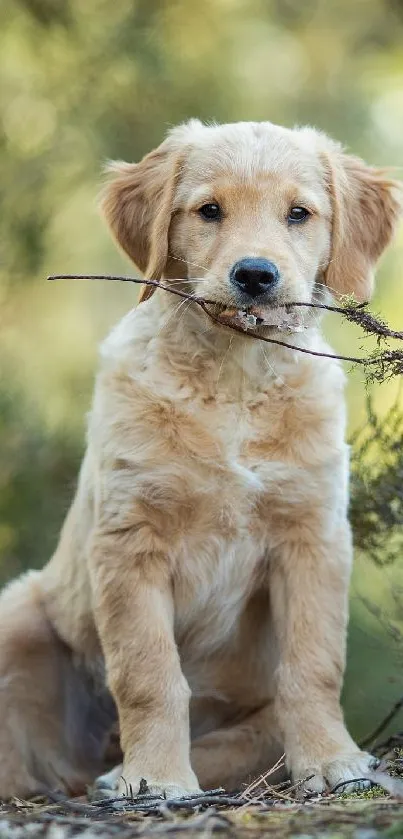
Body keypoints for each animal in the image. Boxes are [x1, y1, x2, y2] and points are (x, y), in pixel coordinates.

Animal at [0, 120, 400, 800]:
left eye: (299, 214)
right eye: (209, 211)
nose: (256, 275)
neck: (234, 379)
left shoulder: (312, 536)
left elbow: (314, 663)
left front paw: (332, 761)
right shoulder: (129, 541)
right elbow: (149, 673)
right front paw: (158, 779)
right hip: (19, 613)